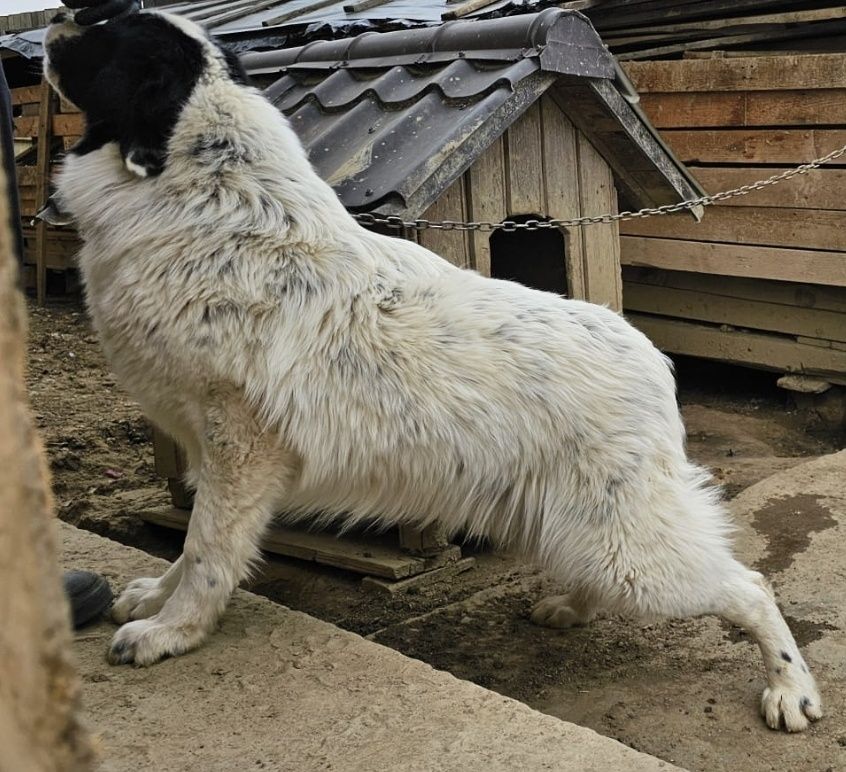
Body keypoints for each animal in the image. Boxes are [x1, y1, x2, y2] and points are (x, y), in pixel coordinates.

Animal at [43, 10, 824, 728]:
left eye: (102, 31)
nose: (54, 23)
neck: (207, 196)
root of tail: (650, 356)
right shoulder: (217, 455)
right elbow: (191, 543)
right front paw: (158, 599)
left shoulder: (240, 449)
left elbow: (208, 550)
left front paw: (172, 631)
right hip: (586, 527)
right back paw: (572, 607)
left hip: (628, 547)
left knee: (749, 585)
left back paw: (791, 690)